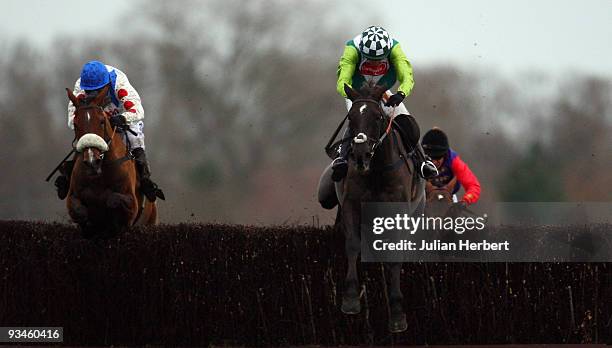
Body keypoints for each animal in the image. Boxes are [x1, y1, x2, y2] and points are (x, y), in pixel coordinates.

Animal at [66, 85, 157, 237]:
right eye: (76, 123)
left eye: (102, 121)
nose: (92, 161)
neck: (99, 174)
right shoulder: (72, 199)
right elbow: (79, 211)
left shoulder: (132, 206)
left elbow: (113, 199)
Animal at [320, 83, 426, 334]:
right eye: (351, 118)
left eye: (377, 116)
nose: (360, 154)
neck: (376, 170)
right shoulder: (351, 204)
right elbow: (352, 244)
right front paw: (350, 299)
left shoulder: (397, 213)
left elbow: (394, 255)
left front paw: (397, 313)